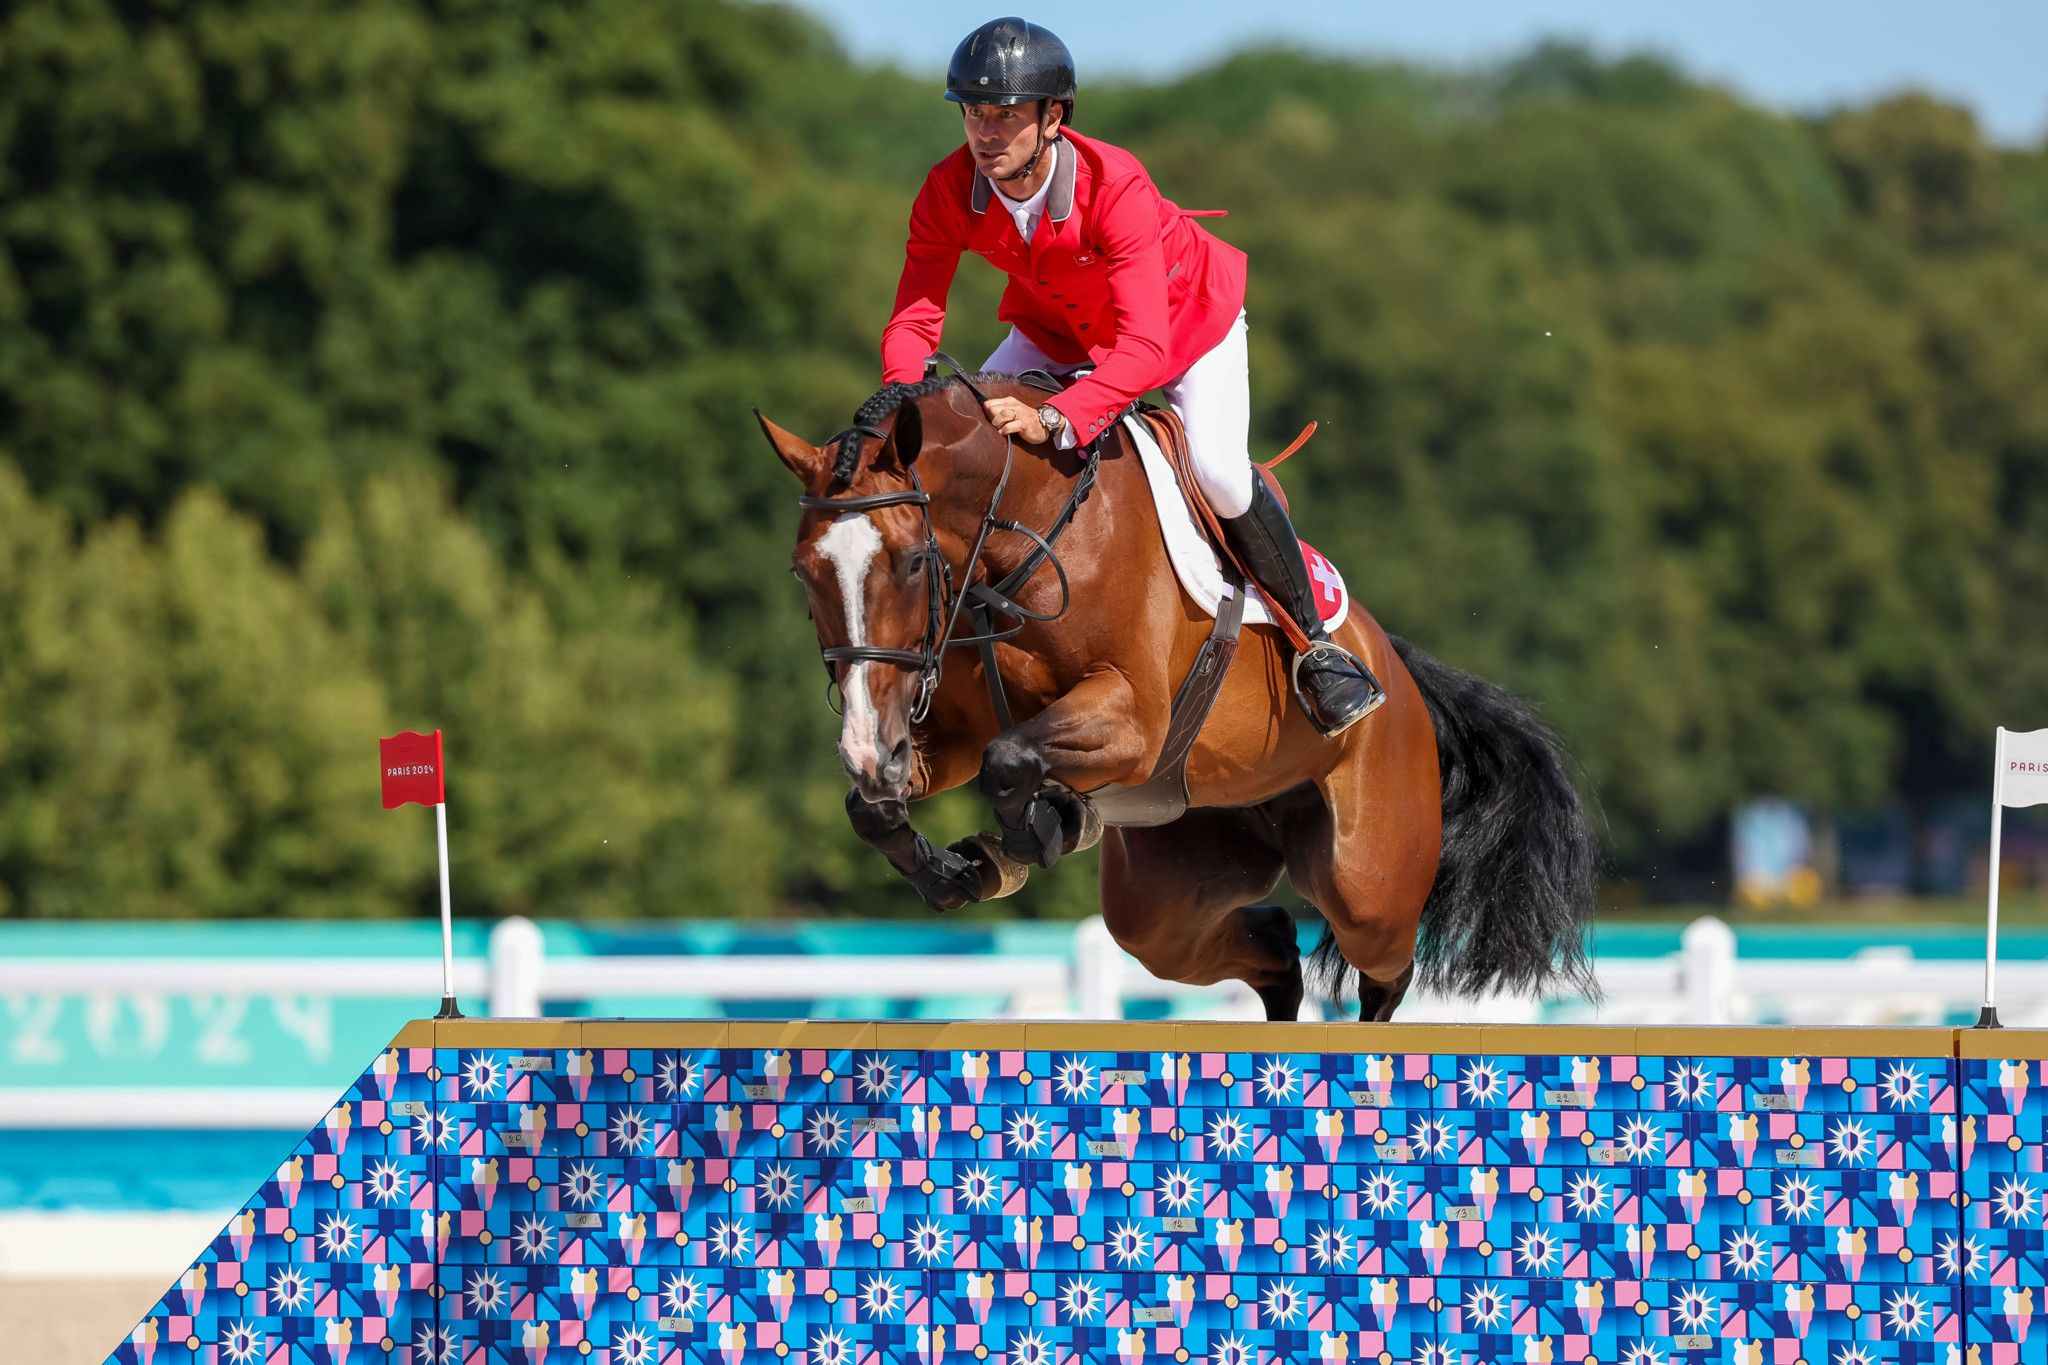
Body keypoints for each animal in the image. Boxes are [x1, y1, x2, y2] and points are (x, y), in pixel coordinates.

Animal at [753, 368, 1597, 1019]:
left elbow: (1009, 760)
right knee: (1269, 949)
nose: (870, 748)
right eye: (803, 572)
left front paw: (1033, 835)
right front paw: (969, 861)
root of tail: (1395, 668)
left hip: (1366, 881)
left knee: (1385, 967)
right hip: (1173, 889)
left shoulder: (1133, 721)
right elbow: (883, 805)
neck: (1024, 532)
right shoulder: (949, 729)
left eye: (907, 561)